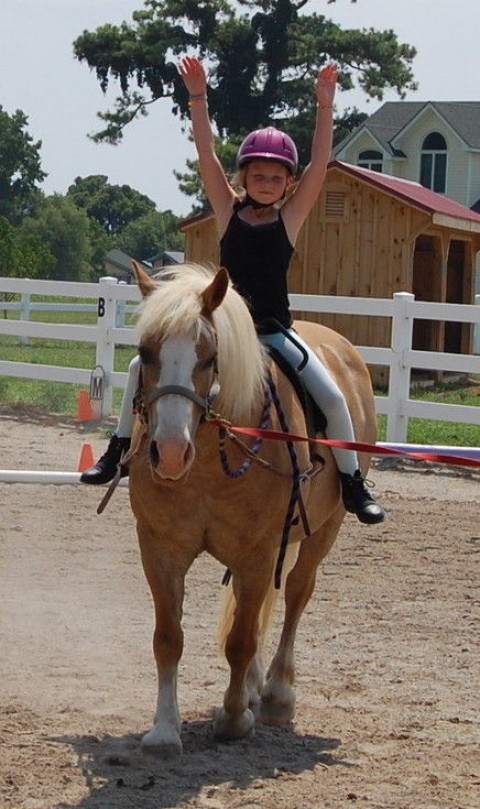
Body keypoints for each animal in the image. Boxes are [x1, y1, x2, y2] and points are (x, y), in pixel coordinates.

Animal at [129, 260, 376, 756]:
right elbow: (168, 639)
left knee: (297, 595)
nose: (170, 453)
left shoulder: (258, 553)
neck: (206, 465)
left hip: (324, 531)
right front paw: (164, 729)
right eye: (145, 352)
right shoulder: (160, 549)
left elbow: (240, 642)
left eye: (209, 356)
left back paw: (277, 695)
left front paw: (234, 717)